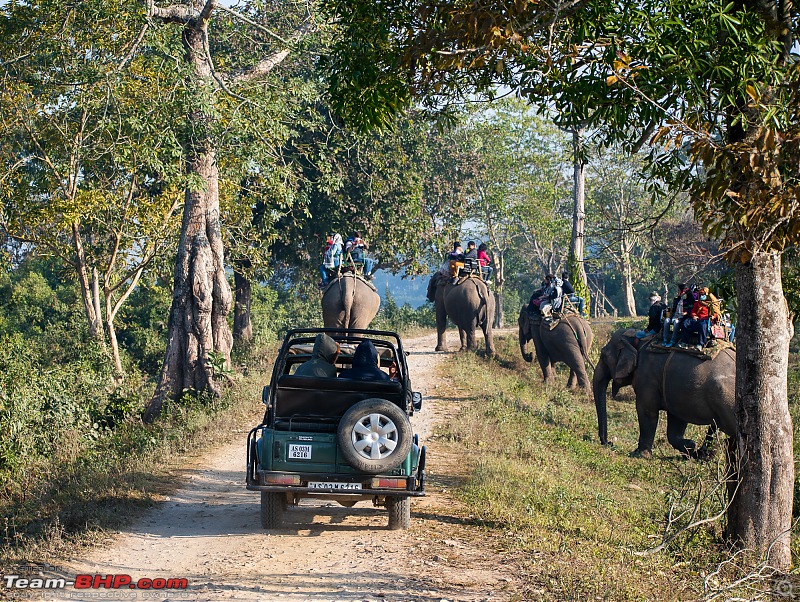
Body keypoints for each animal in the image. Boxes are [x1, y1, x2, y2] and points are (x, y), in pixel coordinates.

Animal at [592, 328, 736, 454]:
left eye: (603, 355)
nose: (609, 442)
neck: (639, 339)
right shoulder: (675, 391)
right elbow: (676, 420)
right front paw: (690, 446)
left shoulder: (647, 377)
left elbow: (647, 410)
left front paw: (639, 454)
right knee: (718, 427)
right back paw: (704, 455)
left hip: (725, 400)